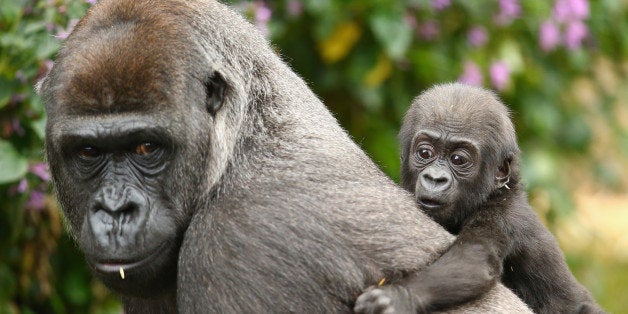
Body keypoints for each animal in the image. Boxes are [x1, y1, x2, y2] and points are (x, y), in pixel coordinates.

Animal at [356, 83, 600, 314]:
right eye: (425, 153)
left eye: (458, 159)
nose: (435, 179)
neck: (496, 192)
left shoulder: (503, 216)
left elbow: (474, 259)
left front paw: (398, 295)